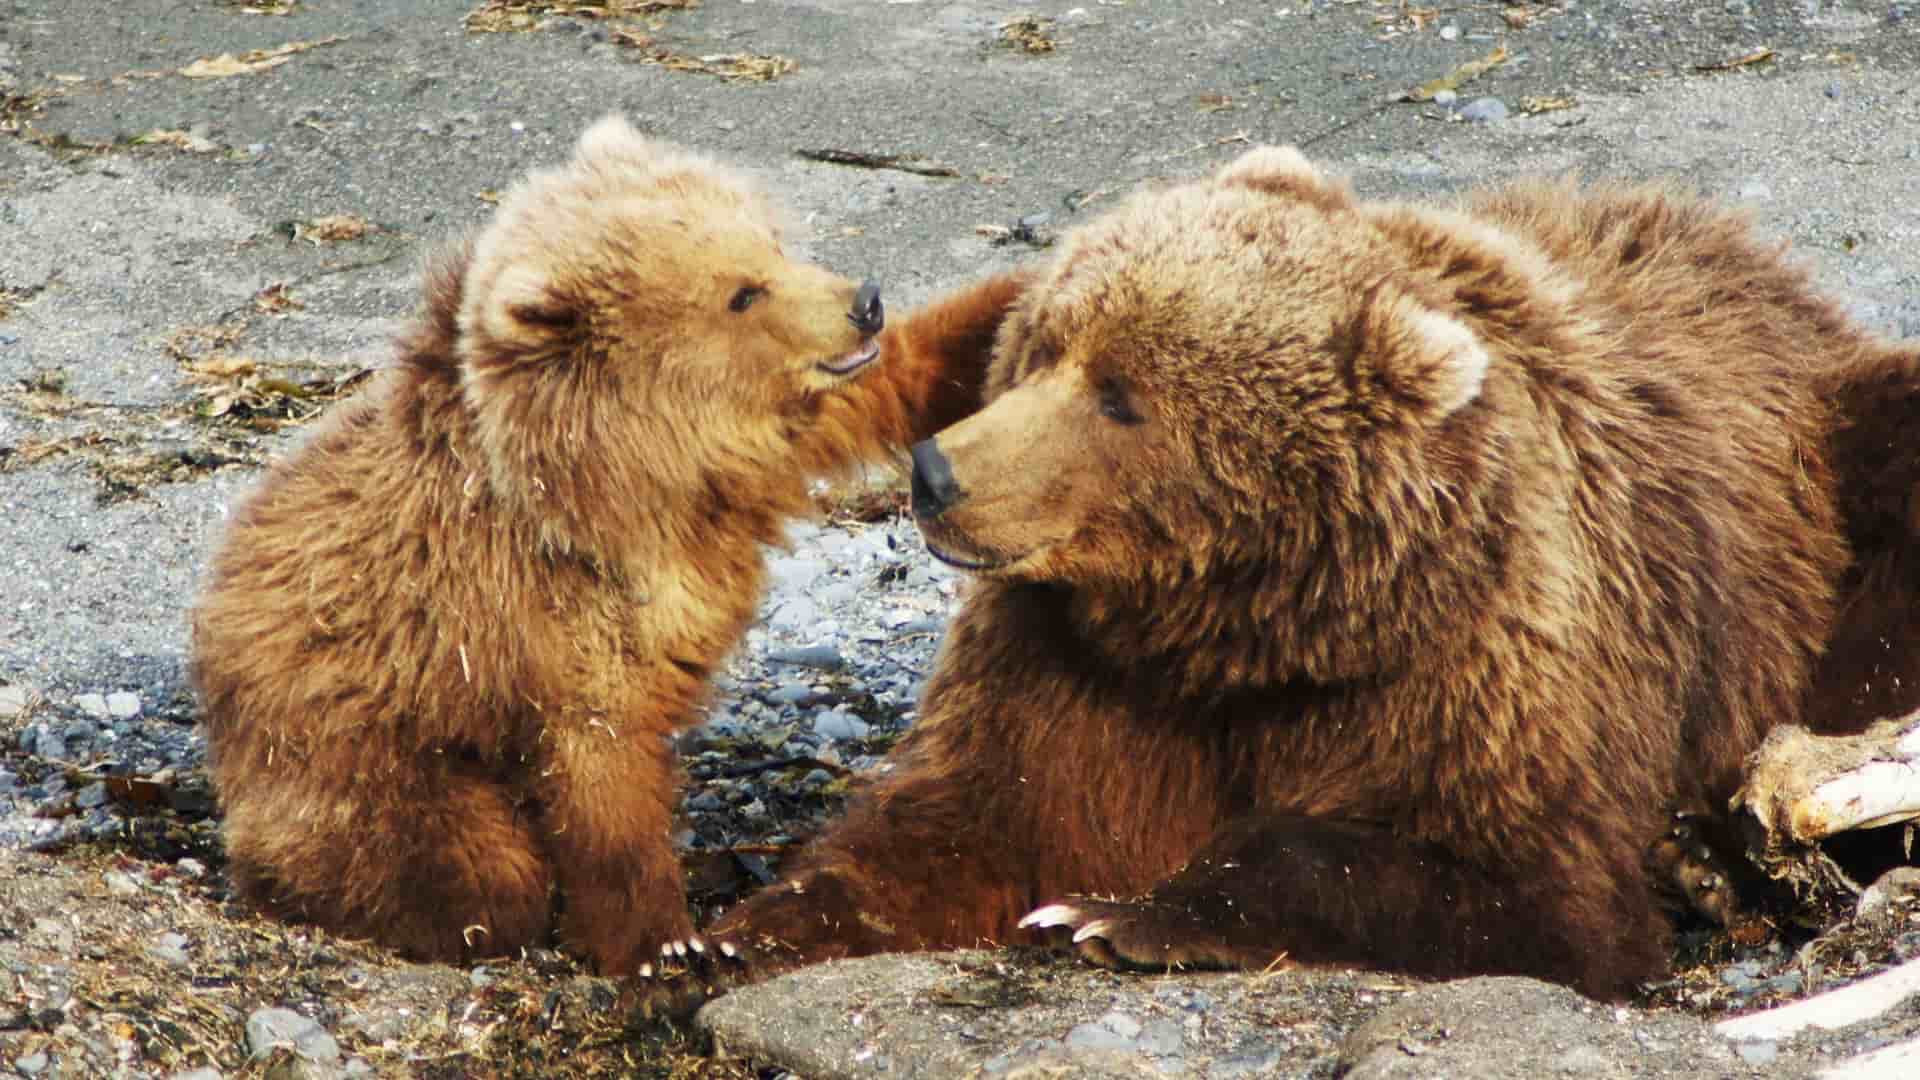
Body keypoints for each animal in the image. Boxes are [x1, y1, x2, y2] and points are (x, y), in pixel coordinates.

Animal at [190, 114, 1026, 975]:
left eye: (770, 243)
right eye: (740, 293)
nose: (864, 301)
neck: (637, 475)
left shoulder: (756, 447)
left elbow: (889, 382)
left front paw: (1008, 297)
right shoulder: (545, 607)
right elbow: (603, 765)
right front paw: (663, 940)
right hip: (357, 747)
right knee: (462, 859)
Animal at [641, 146, 1920, 1005]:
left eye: (1123, 396)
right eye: (1047, 341)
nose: (937, 471)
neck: (1247, 625)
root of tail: (1772, 271)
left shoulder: (1477, 666)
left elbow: (1518, 887)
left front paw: (1114, 912)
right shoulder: (1078, 669)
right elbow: (971, 816)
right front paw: (721, 932)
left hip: (1836, 462)